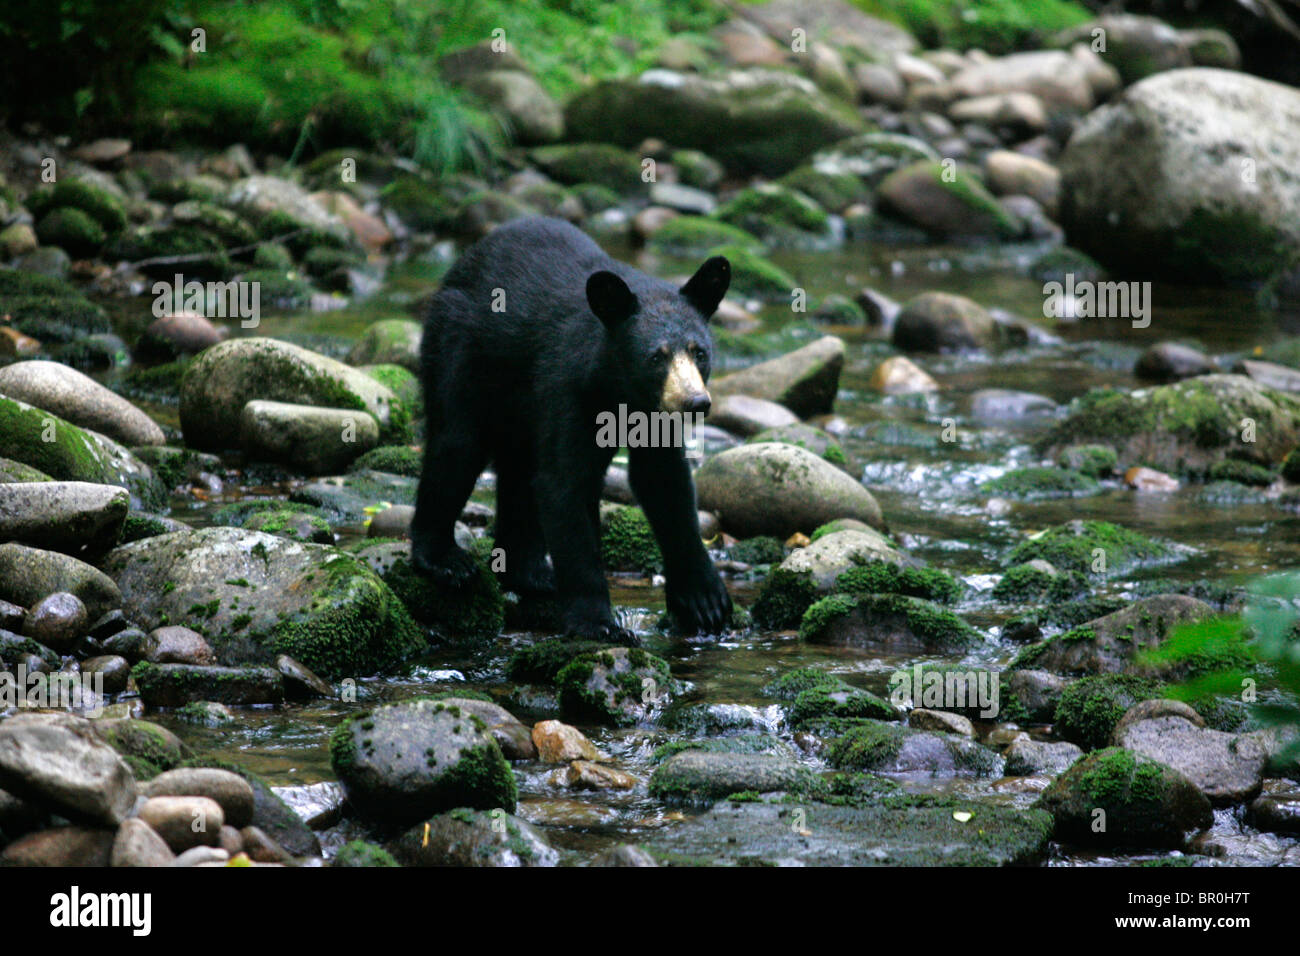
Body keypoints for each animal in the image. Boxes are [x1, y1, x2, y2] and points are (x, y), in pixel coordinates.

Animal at [413, 213, 733, 639]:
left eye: (700, 353)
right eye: (656, 357)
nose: (695, 402)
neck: (616, 391)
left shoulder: (654, 416)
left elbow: (665, 483)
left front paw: (705, 601)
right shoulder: (566, 386)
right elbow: (565, 484)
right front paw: (598, 623)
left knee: (518, 473)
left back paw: (532, 575)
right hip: (461, 350)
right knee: (457, 446)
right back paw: (446, 561)